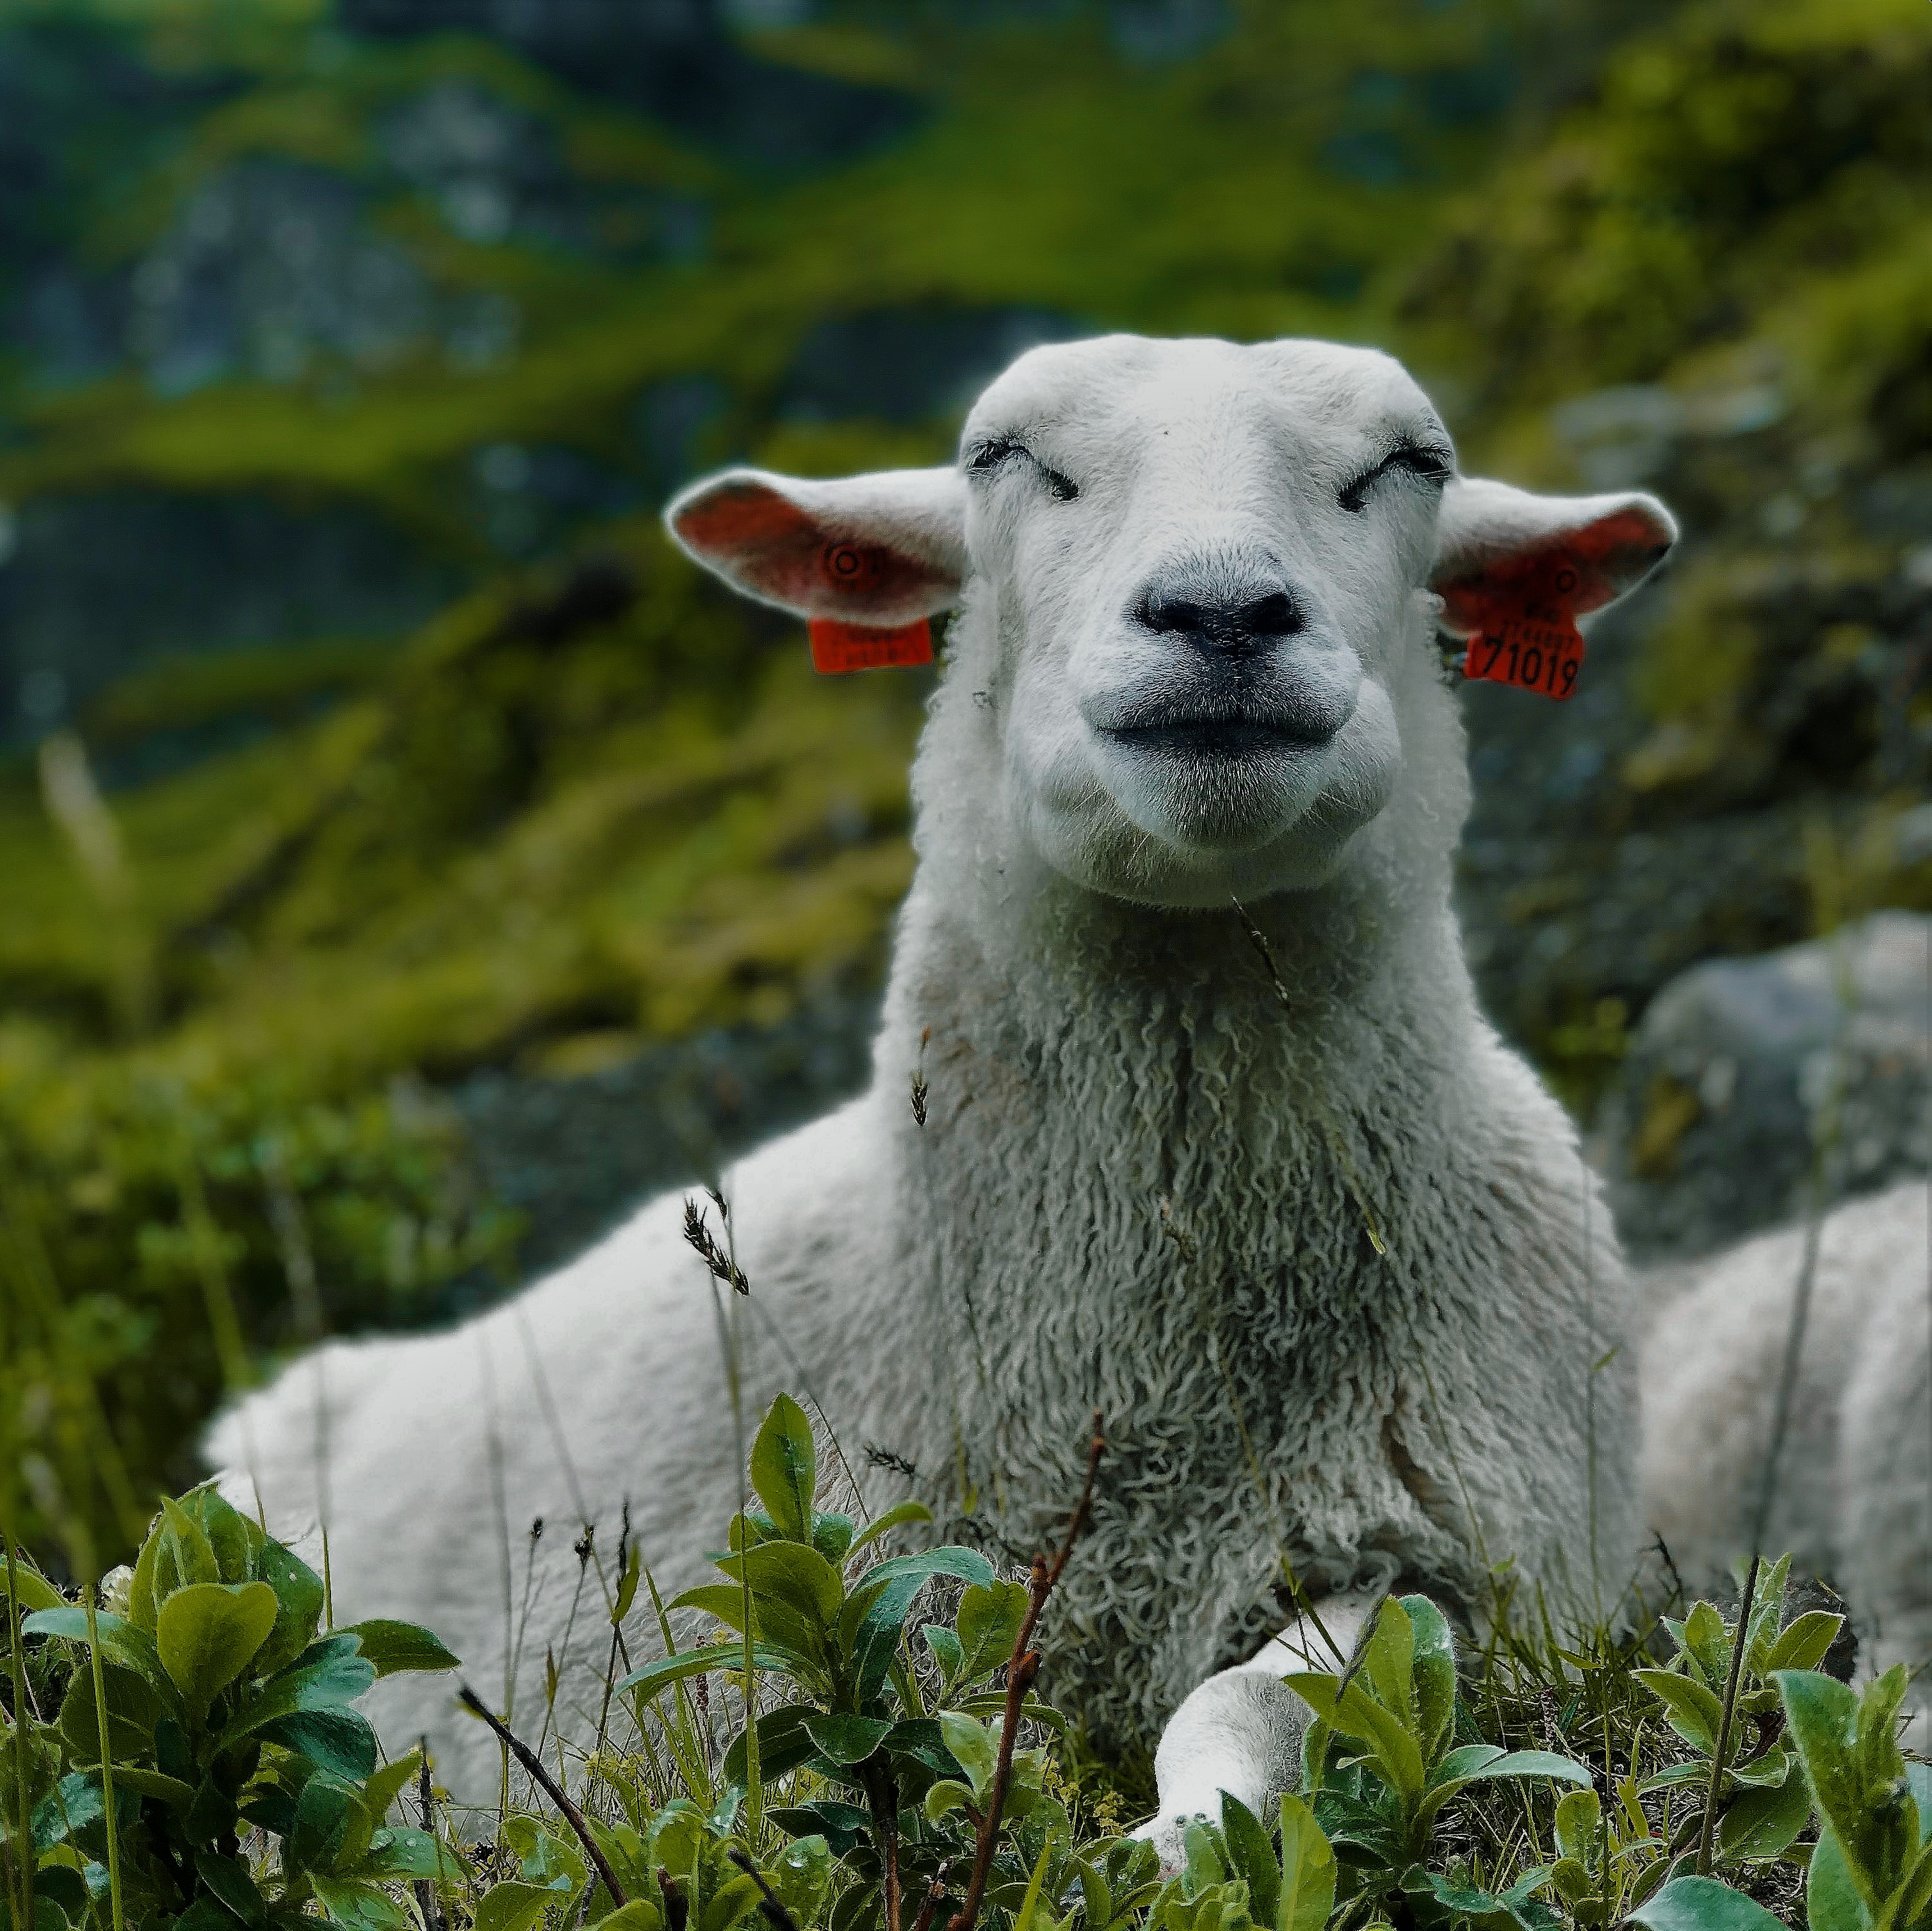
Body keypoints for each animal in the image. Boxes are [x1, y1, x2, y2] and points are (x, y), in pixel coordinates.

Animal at [210, 331, 1677, 1840]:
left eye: (1408, 465)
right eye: (1005, 459)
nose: (1221, 614)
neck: (1149, 1364)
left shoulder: (1467, 1561)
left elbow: (1261, 1702)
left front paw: (1177, 1835)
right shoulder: (813, 1621)